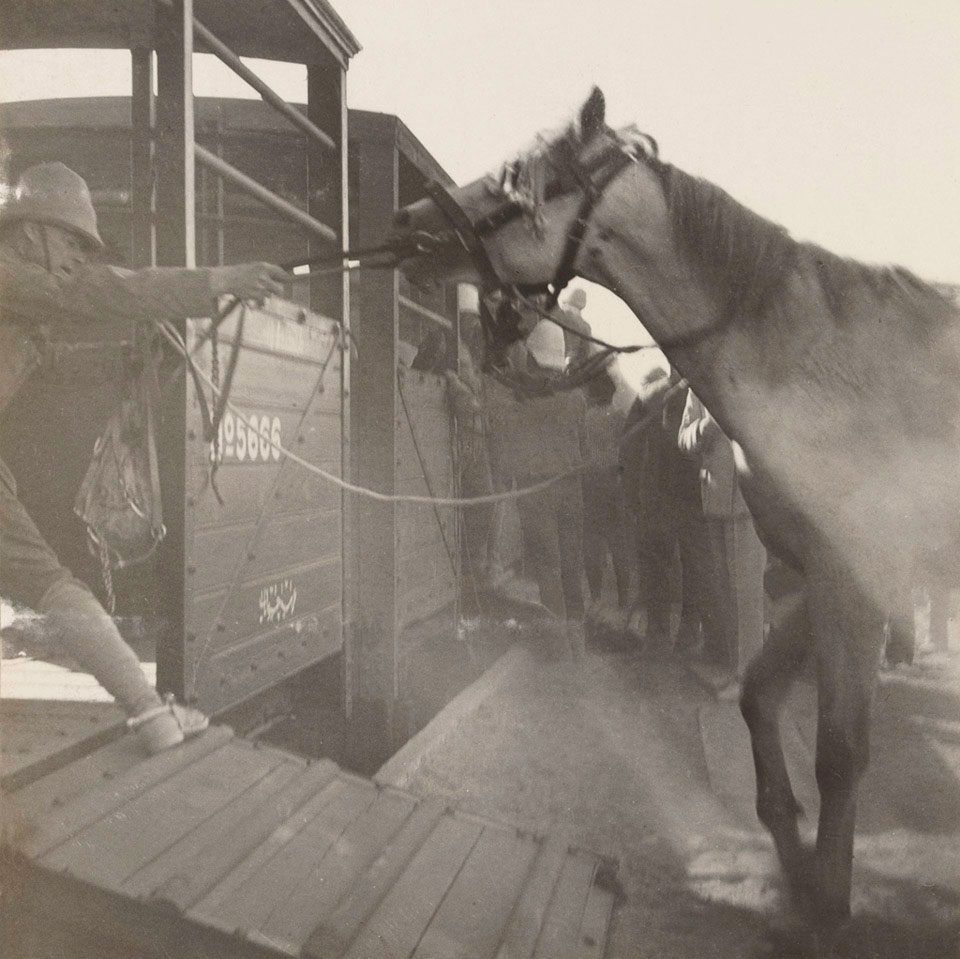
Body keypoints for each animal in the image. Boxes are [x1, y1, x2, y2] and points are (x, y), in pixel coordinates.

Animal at [388, 86, 960, 932]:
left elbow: (840, 750)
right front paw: (784, 832)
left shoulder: (855, 581)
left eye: (520, 178)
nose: (407, 223)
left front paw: (827, 895)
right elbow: (757, 693)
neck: (820, 367)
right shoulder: (807, 575)